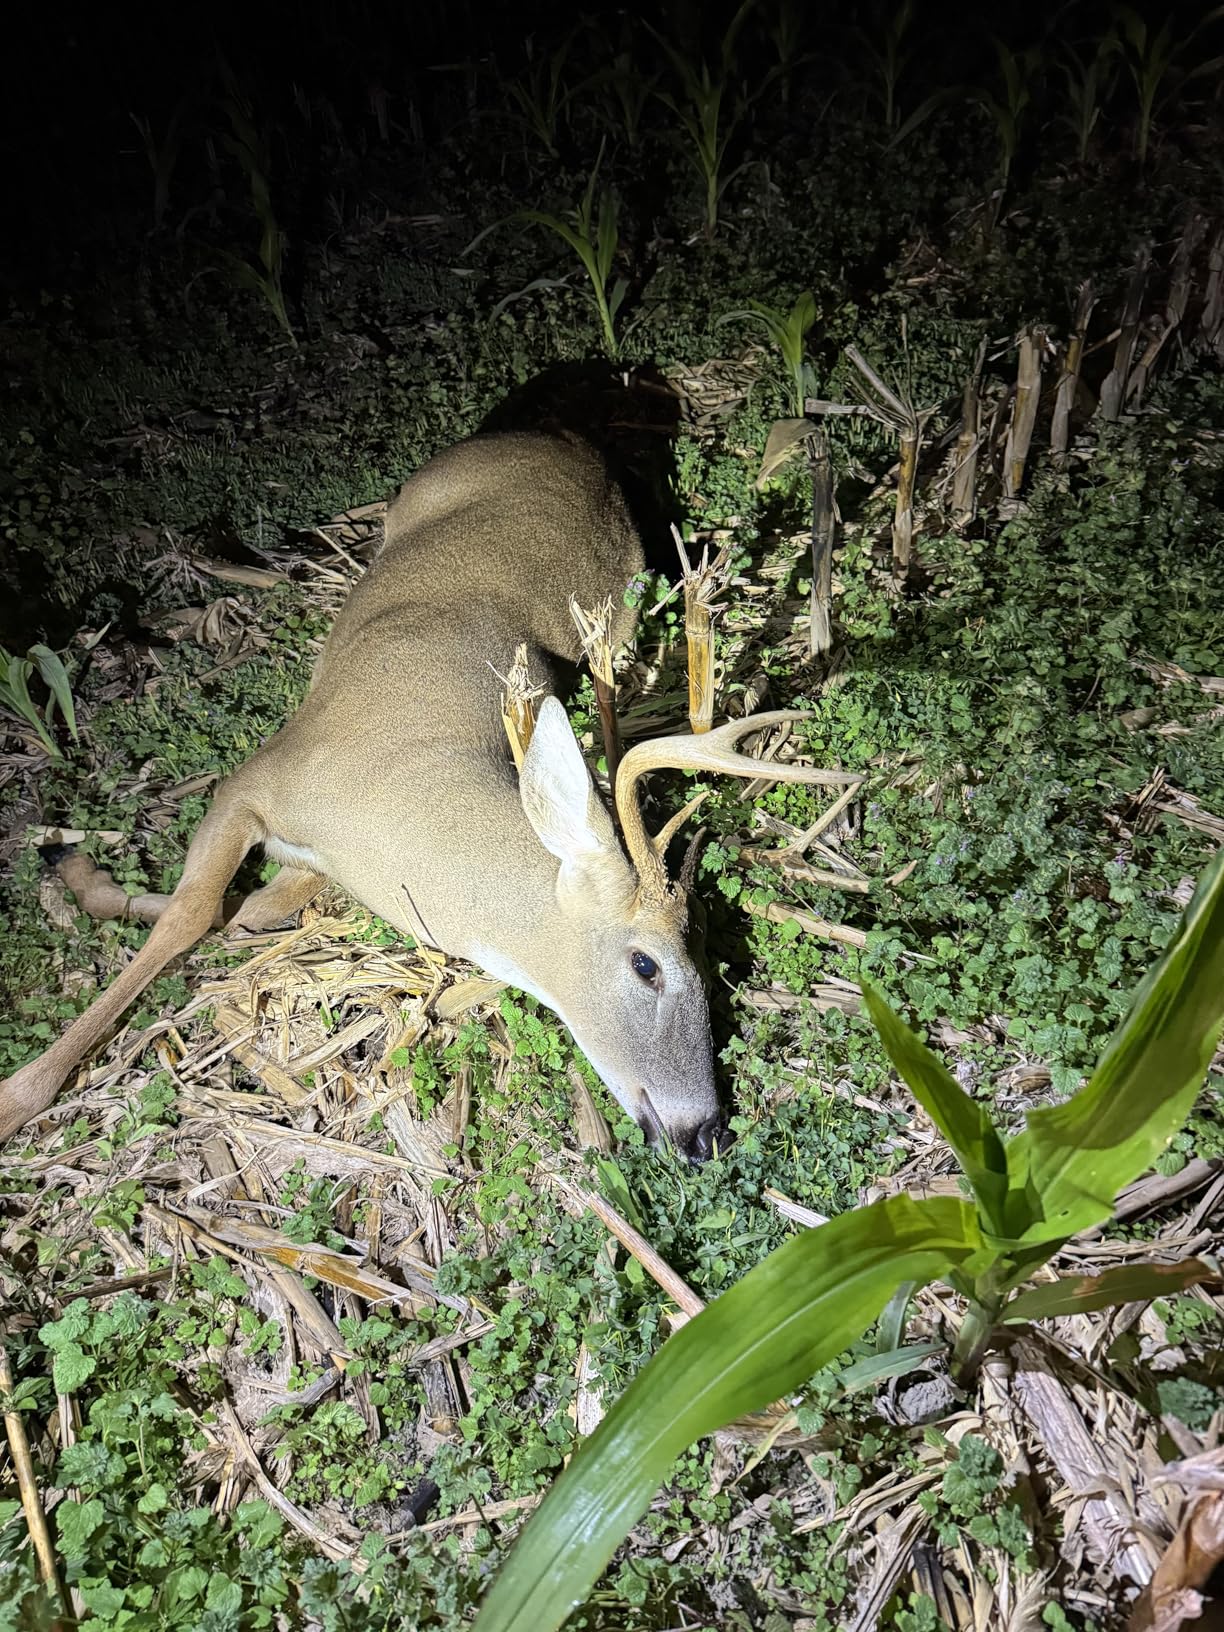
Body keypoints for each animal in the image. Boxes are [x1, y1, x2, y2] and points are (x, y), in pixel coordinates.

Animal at [0, 427, 841, 1160]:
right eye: (647, 965)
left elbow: (242, 915)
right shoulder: (262, 776)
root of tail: (564, 438)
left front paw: (79, 877)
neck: (400, 812)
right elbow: (195, 912)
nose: (706, 1132)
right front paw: (21, 1093)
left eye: (709, 962)